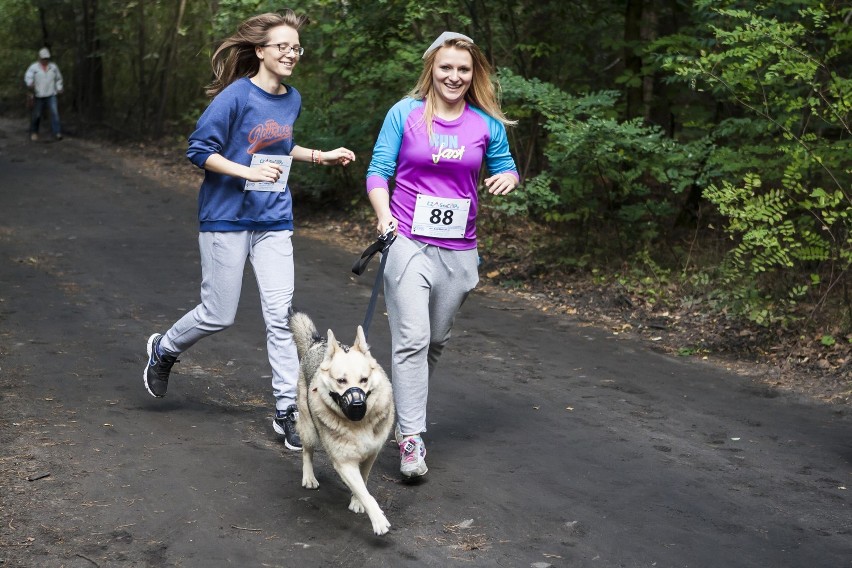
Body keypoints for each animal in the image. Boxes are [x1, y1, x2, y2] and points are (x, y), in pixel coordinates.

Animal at [286, 310, 392, 536]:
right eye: (341, 381)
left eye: (364, 380)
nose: (357, 405)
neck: (358, 425)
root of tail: (318, 342)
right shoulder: (344, 462)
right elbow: (365, 492)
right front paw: (378, 519)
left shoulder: (371, 455)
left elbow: (364, 482)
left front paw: (357, 501)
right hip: (309, 429)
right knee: (307, 452)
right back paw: (309, 477)